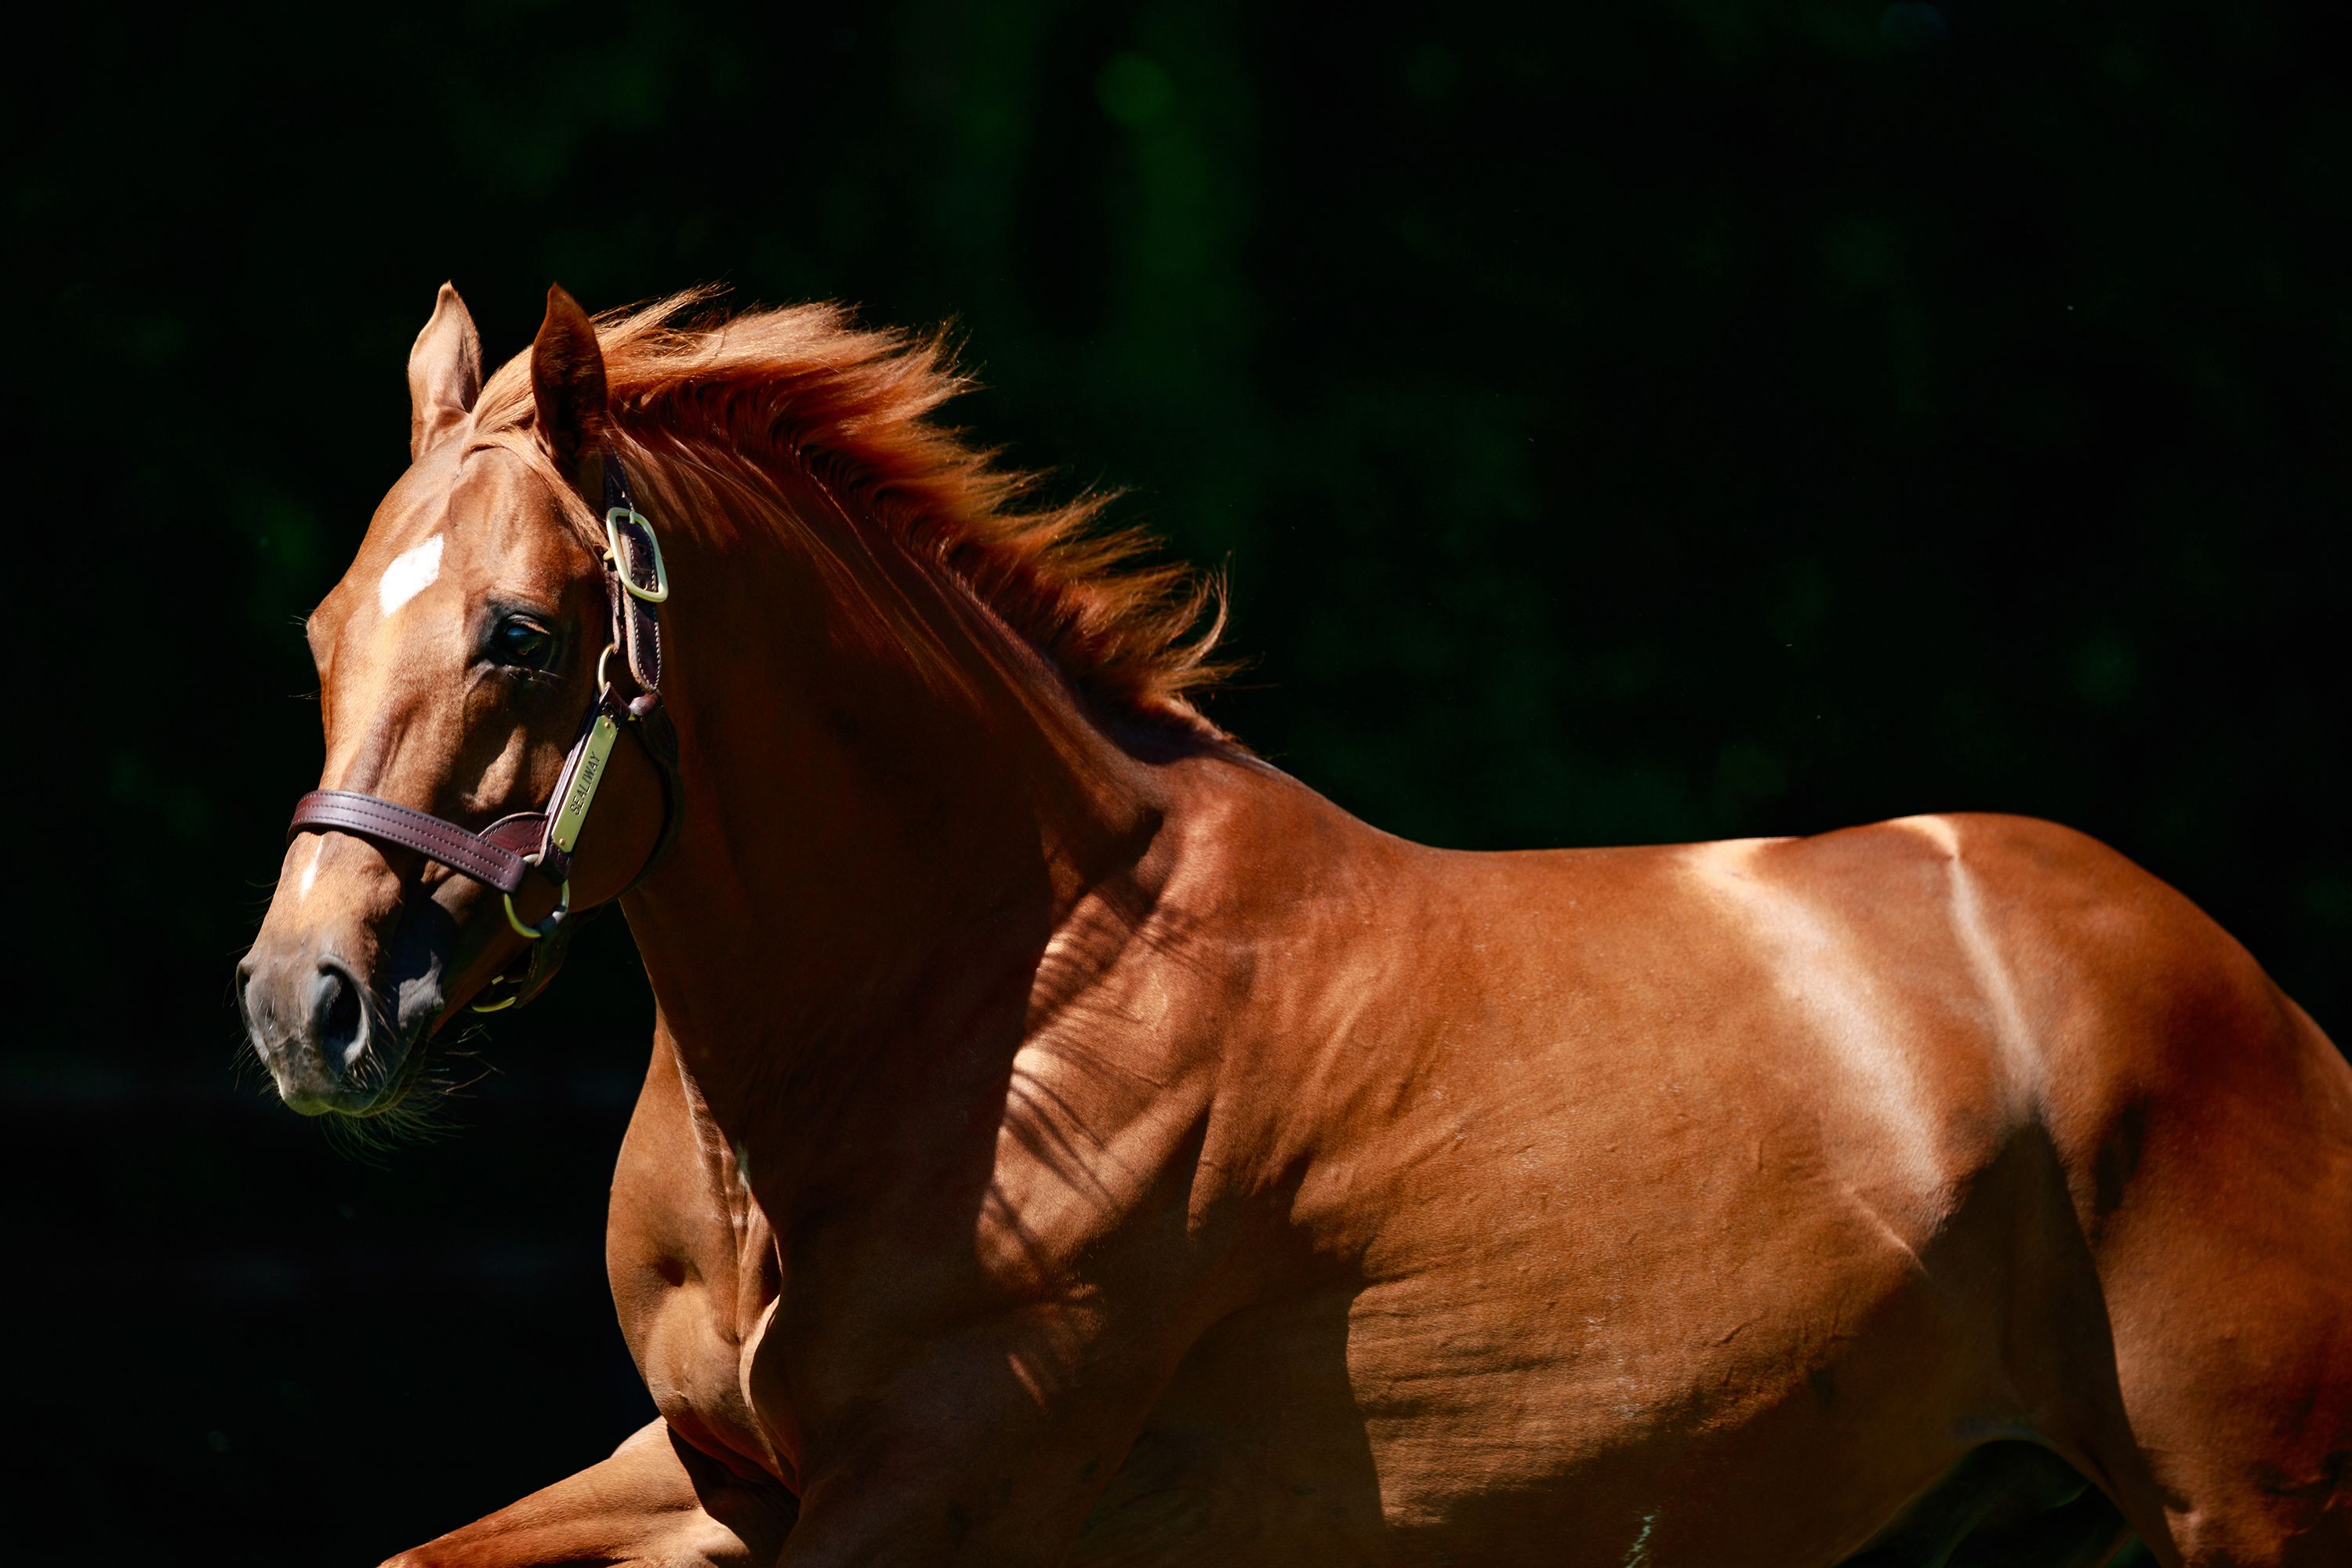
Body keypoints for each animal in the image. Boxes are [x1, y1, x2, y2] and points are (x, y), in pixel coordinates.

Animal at [236, 282, 2351, 1567]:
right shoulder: (710, 1476)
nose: (304, 1000)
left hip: (2242, 1502)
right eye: (326, 623)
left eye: (520, 633)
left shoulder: (935, 1491)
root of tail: (2263, 1005)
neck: (990, 1001)